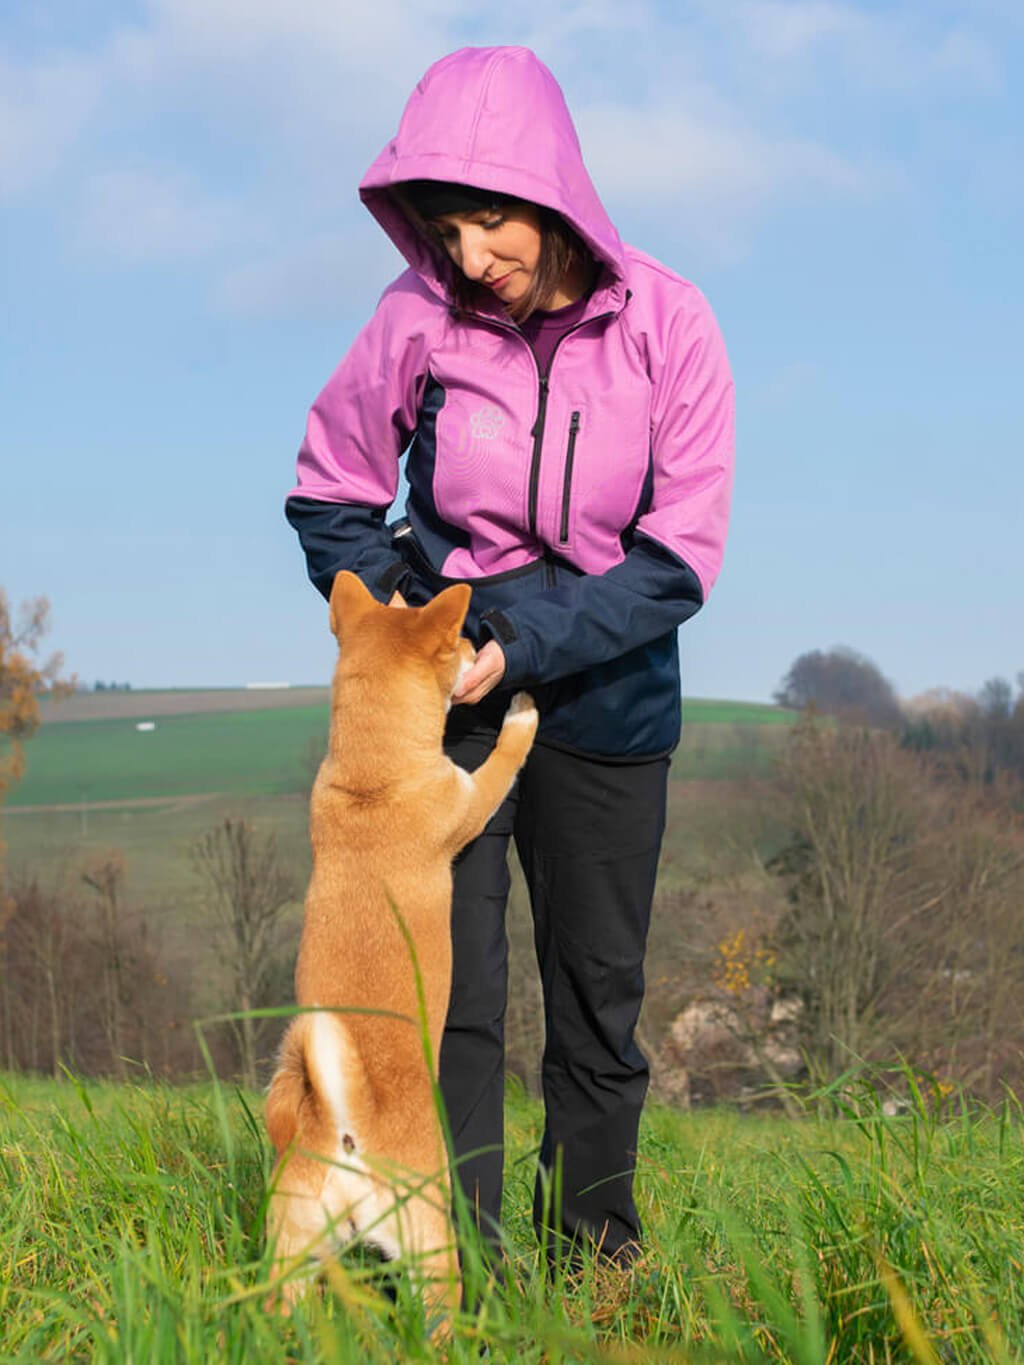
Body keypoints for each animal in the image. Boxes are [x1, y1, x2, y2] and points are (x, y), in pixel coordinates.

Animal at [262, 567, 537, 1321]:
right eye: (458, 643)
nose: (482, 651)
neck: (372, 779)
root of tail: (346, 1130)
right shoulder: (472, 797)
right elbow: (507, 756)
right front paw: (523, 712)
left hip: (292, 1251)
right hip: (433, 1248)